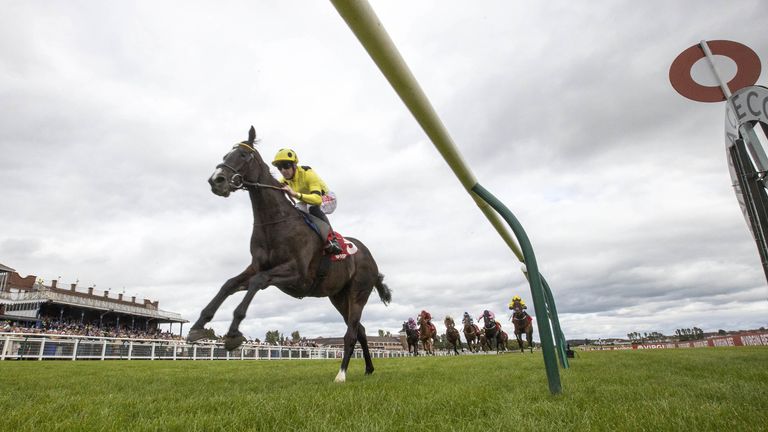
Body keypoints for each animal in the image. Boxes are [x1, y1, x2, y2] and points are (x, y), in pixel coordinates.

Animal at [186, 126, 390, 384]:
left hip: (357, 293)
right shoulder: (258, 266)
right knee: (360, 330)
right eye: (225, 155)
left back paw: (341, 374)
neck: (275, 222)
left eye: (243, 155)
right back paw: (369, 369)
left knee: (351, 333)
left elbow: (257, 281)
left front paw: (233, 334)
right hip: (338, 296)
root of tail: (371, 258)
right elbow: (229, 284)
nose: (217, 180)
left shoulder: (297, 275)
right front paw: (198, 327)